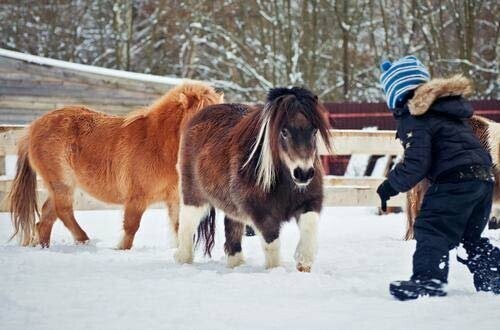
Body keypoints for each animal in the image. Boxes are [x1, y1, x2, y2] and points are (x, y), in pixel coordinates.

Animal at [8, 82, 224, 248]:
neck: (158, 145)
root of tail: (33, 127)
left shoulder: (174, 199)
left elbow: (179, 226)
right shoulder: (136, 197)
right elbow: (131, 226)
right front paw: (122, 248)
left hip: (60, 186)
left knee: (46, 218)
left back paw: (44, 246)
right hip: (62, 183)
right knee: (63, 211)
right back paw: (84, 240)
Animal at [174, 86, 330, 272]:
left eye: (314, 131)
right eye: (284, 132)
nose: (303, 173)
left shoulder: (309, 201)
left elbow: (310, 225)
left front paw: (303, 261)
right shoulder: (261, 213)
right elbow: (272, 245)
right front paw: (275, 270)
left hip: (232, 206)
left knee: (232, 232)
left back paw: (236, 265)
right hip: (194, 196)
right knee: (187, 225)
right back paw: (183, 260)